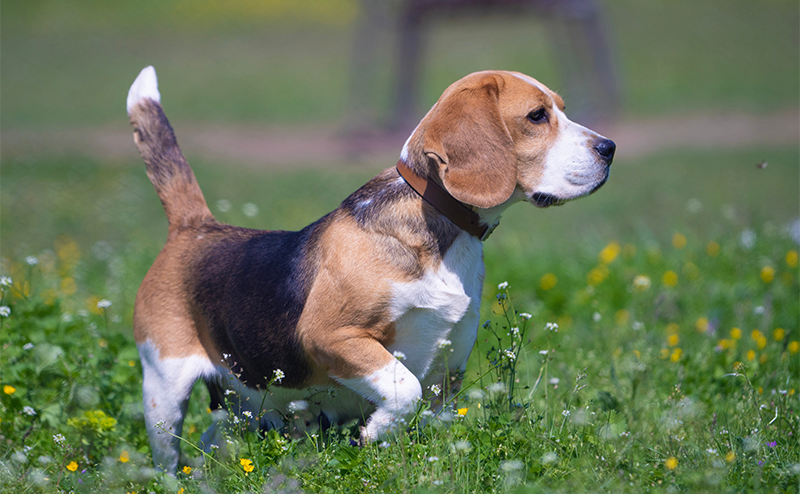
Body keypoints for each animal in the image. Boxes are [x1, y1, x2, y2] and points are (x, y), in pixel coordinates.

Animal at [128, 65, 612, 470]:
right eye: (537, 116)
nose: (609, 148)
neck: (440, 228)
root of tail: (196, 227)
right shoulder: (331, 335)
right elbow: (404, 388)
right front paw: (375, 431)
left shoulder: (447, 371)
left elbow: (424, 415)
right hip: (163, 392)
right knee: (169, 456)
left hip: (243, 406)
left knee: (211, 439)